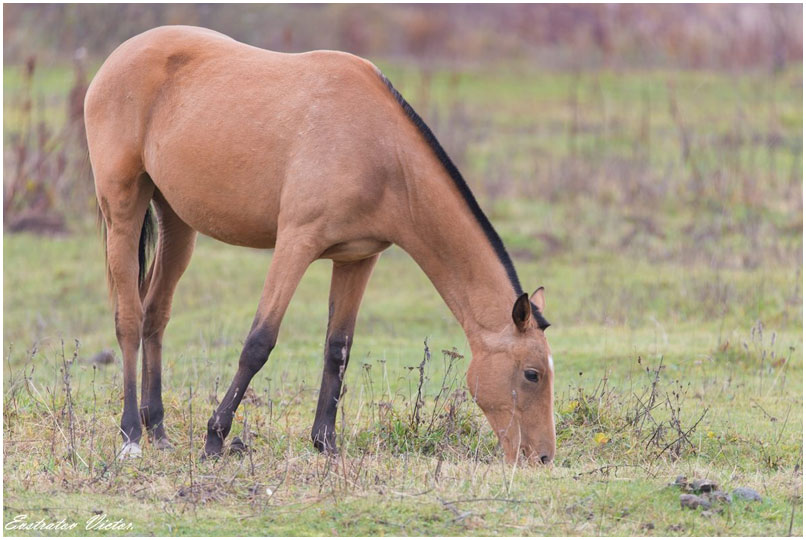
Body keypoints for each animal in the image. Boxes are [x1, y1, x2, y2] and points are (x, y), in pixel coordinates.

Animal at [85, 25, 555, 464]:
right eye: (532, 374)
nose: (543, 457)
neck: (381, 152)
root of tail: (119, 56)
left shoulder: (358, 258)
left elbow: (337, 350)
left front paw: (325, 443)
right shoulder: (296, 243)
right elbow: (258, 344)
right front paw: (215, 438)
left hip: (178, 223)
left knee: (155, 315)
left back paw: (158, 432)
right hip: (123, 208)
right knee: (129, 319)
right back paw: (131, 436)